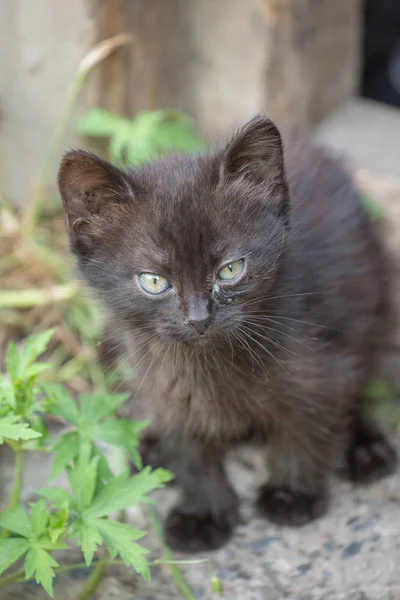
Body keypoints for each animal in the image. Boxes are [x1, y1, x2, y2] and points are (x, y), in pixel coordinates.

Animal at [57, 117, 396, 552]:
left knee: (362, 383)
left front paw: (292, 494)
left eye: (231, 270)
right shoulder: (166, 386)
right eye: (154, 281)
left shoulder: (322, 370)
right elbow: (190, 451)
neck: (209, 365)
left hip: (371, 307)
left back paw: (366, 448)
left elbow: (307, 430)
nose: (199, 318)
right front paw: (203, 513)